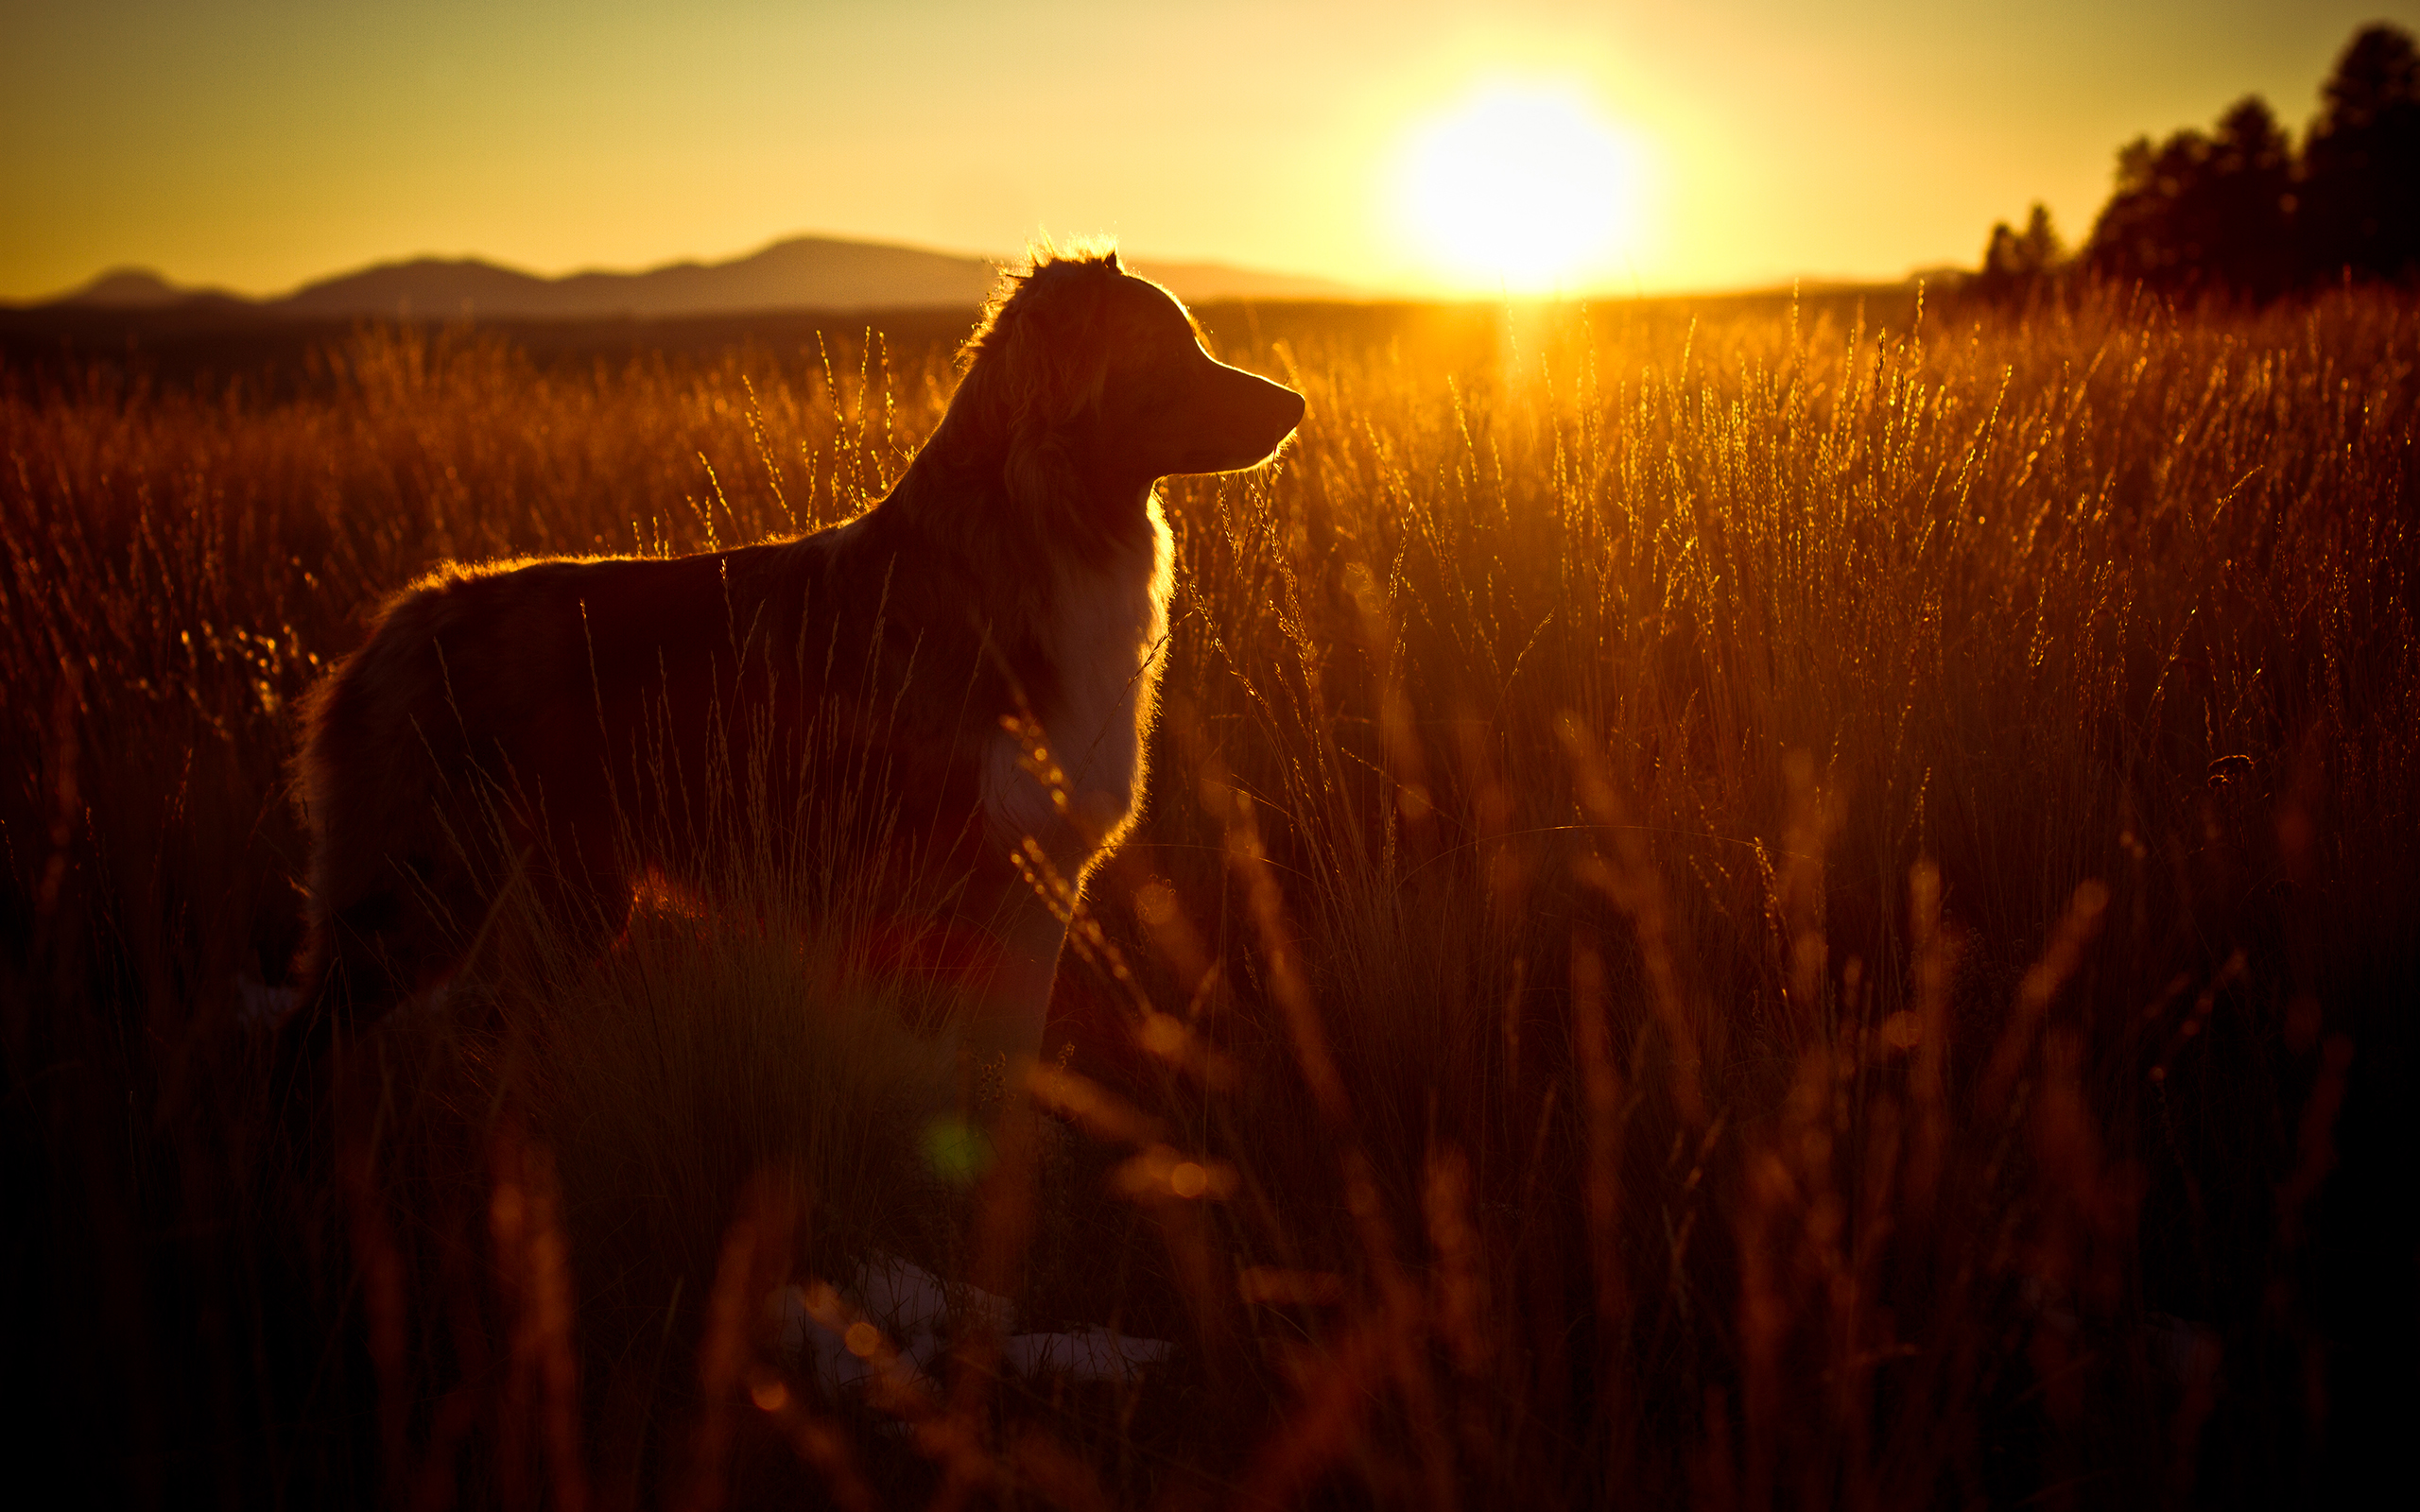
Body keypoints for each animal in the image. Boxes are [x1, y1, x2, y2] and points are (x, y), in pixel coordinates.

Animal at [274, 248, 1306, 1098]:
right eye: (1174, 348)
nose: (1297, 406)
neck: (1038, 535)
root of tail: (399, 619)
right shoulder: (916, 884)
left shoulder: (1032, 882)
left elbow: (1000, 1063)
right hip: (419, 887)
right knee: (309, 1037)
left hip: (572, 897)